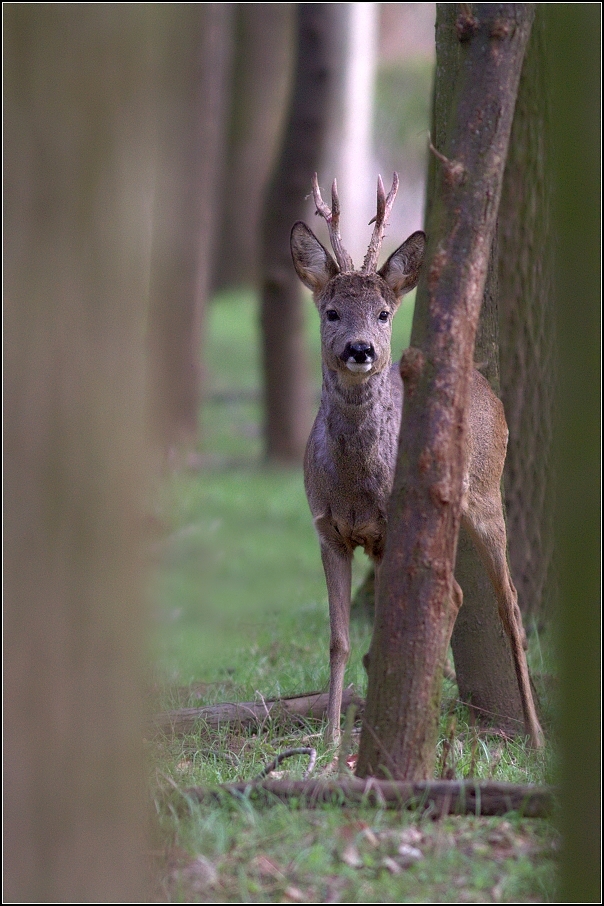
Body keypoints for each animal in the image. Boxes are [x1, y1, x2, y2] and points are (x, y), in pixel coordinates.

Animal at [290, 173, 544, 744]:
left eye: (384, 314)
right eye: (331, 312)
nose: (360, 349)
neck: (356, 486)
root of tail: (489, 392)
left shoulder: (390, 529)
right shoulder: (326, 527)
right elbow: (339, 640)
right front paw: (332, 738)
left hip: (487, 494)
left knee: (509, 605)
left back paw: (536, 736)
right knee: (456, 594)